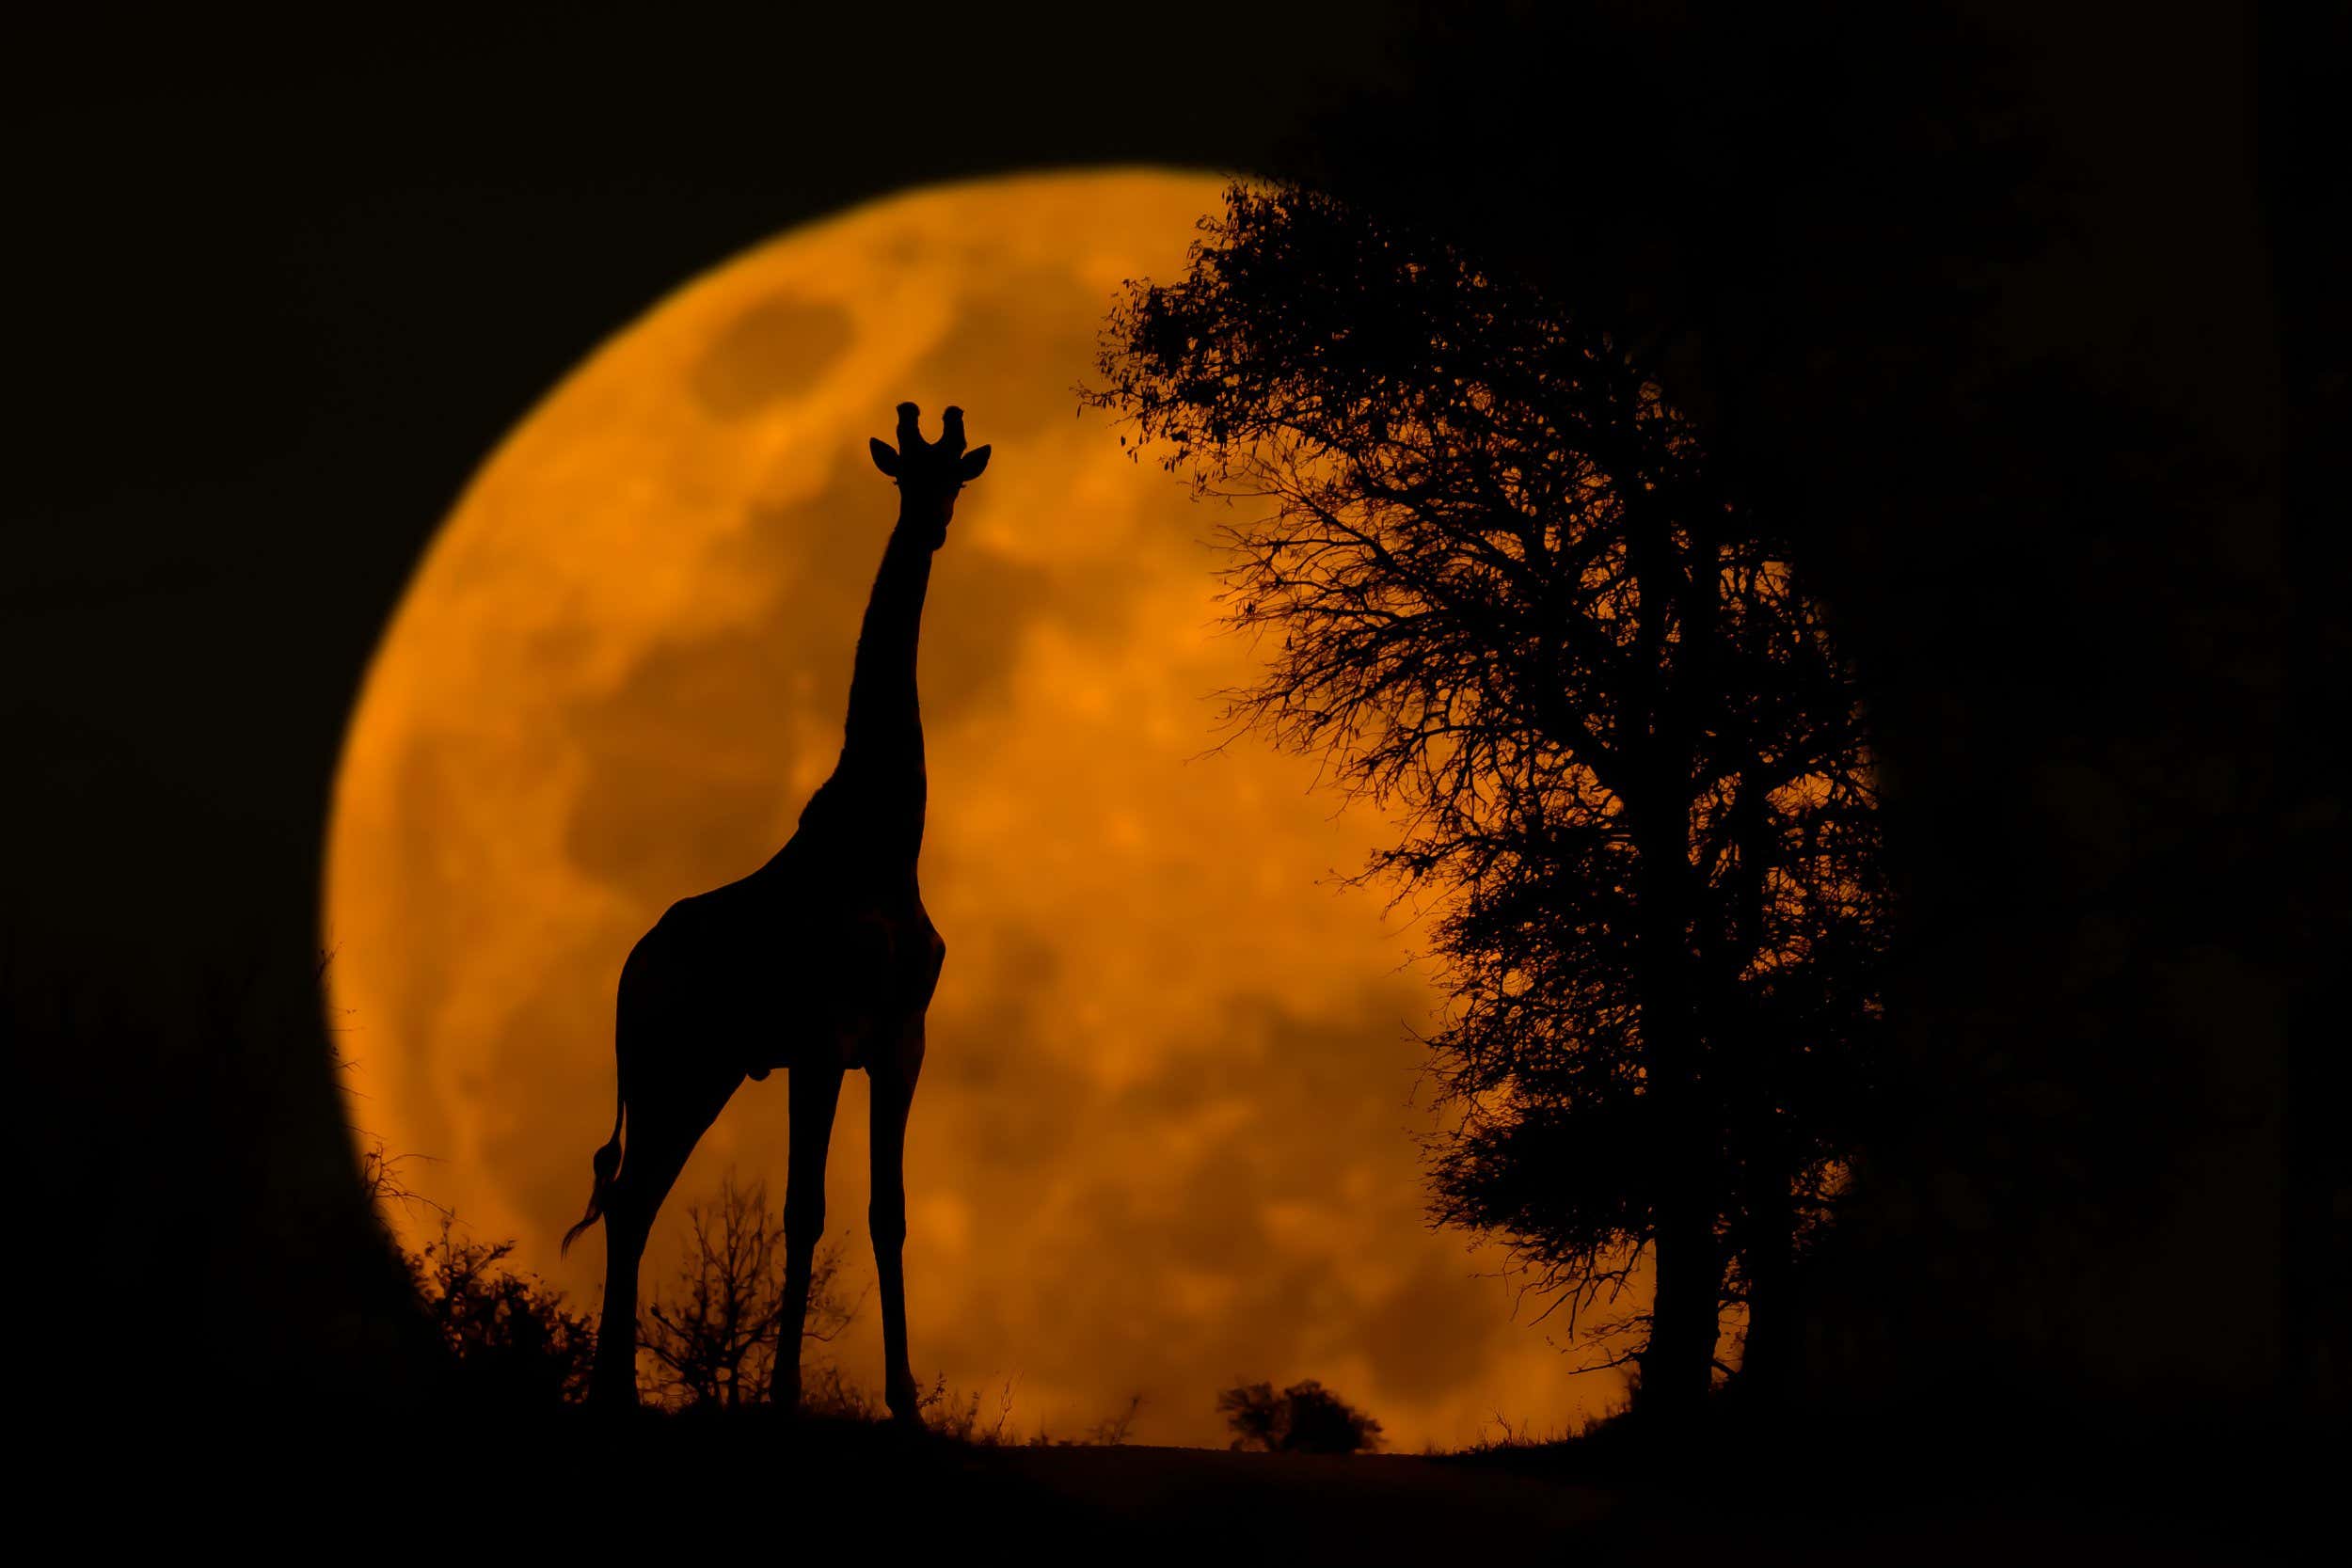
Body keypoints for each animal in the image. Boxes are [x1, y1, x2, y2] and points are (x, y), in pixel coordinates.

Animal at [563, 401, 991, 1418]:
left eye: (955, 475)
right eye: (904, 473)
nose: (930, 527)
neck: (884, 843)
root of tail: (630, 969)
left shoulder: (901, 1040)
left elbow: (888, 1209)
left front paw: (906, 1401)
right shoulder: (825, 1036)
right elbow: (806, 1209)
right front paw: (788, 1391)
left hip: (707, 1069)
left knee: (634, 1198)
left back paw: (616, 1392)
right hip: (670, 1066)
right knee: (631, 1196)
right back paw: (612, 1393)